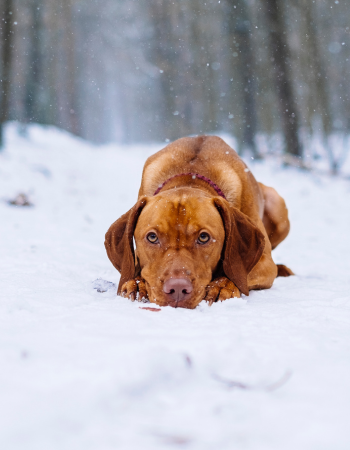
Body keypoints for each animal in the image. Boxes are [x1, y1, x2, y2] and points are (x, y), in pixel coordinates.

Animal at [104, 134, 292, 310]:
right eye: (152, 237)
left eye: (203, 237)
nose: (177, 289)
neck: (191, 175)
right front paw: (137, 283)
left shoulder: (265, 262)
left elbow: (239, 271)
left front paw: (222, 286)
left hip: (277, 206)